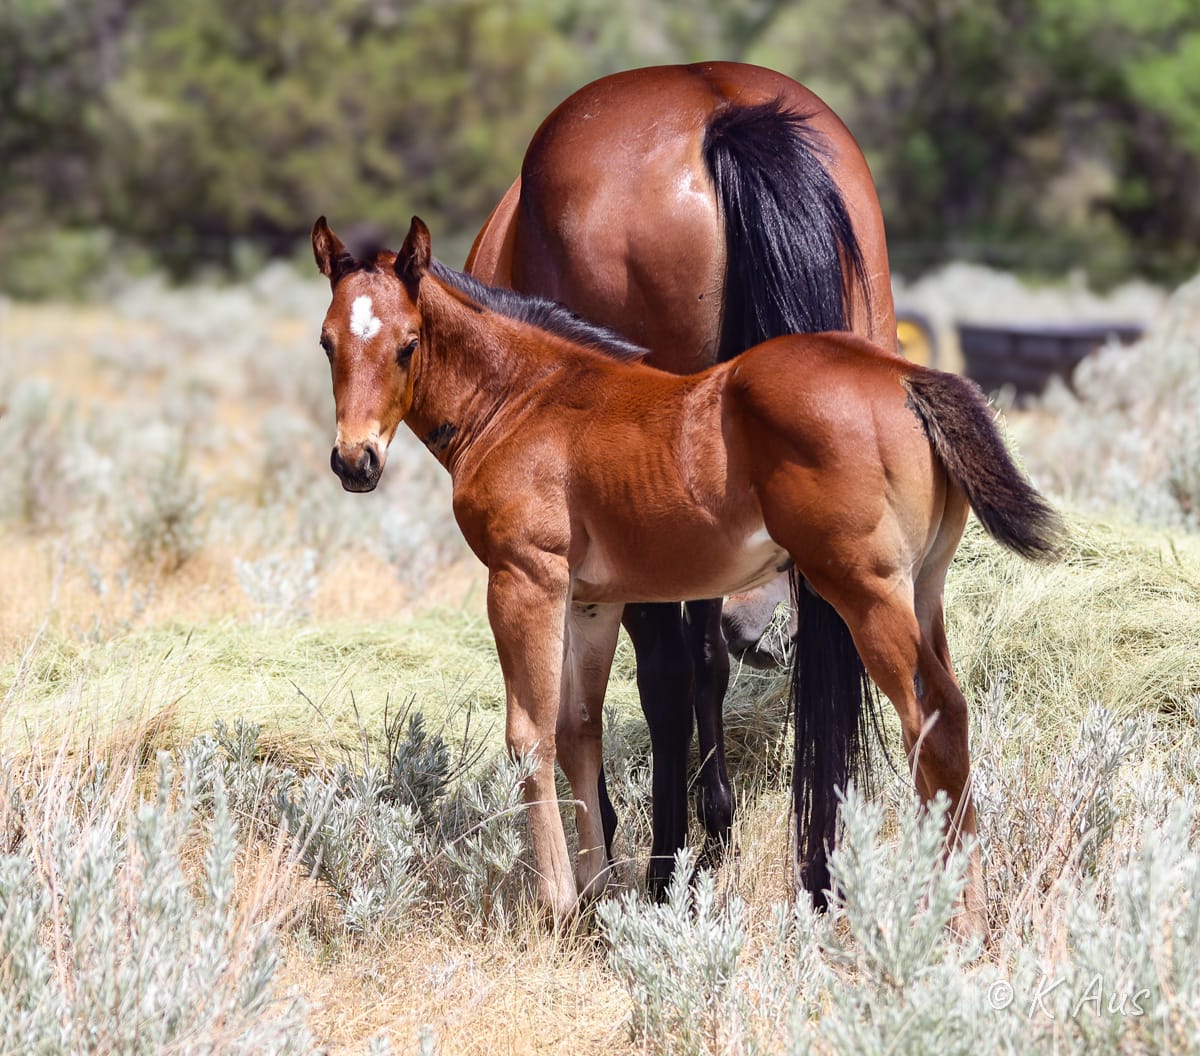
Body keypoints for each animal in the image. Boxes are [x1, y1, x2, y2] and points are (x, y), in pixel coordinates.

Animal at [309, 216, 1060, 931]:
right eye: (327, 343)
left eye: (408, 343)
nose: (355, 461)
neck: (525, 397)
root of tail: (905, 376)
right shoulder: (590, 602)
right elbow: (579, 728)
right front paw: (596, 894)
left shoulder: (525, 579)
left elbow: (530, 735)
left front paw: (556, 905)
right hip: (924, 588)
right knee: (953, 717)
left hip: (867, 591)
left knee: (930, 720)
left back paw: (953, 919)